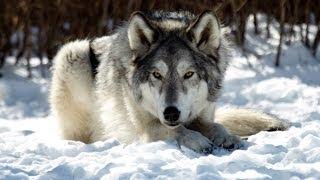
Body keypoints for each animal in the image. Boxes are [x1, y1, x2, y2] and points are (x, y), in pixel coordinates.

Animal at [50, 9, 290, 153]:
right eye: (157, 75)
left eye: (189, 74)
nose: (171, 113)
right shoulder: (148, 127)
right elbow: (175, 130)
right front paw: (197, 140)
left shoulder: (203, 115)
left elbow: (216, 125)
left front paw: (228, 138)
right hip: (72, 55)